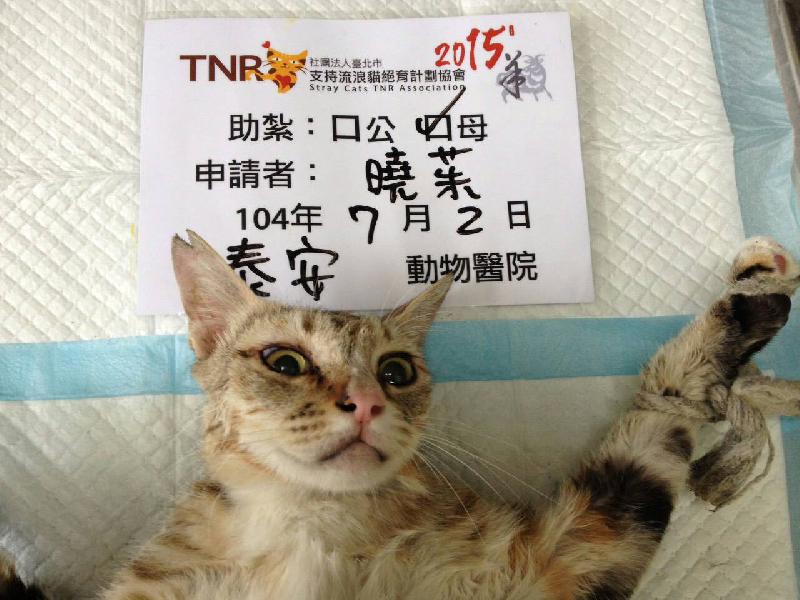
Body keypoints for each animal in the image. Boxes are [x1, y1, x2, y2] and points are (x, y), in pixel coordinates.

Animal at [2, 231, 799, 600]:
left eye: (397, 371)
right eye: (284, 361)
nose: (368, 400)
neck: (312, 525)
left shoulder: (570, 559)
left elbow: (652, 437)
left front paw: (746, 305)